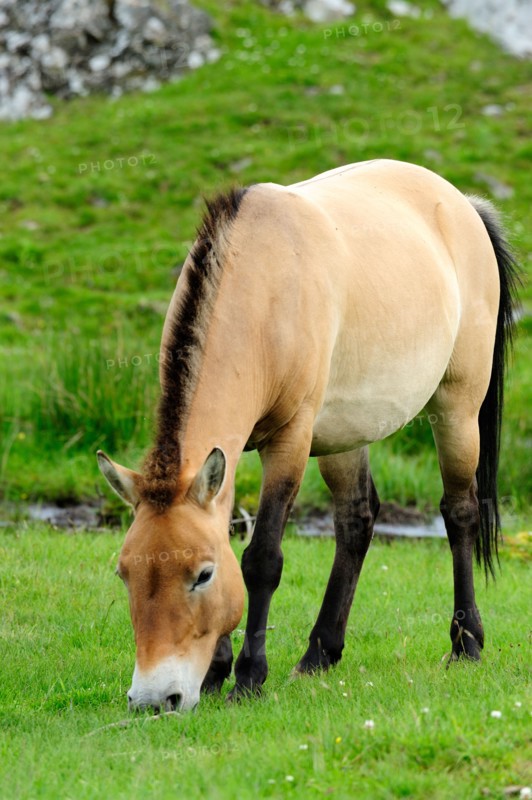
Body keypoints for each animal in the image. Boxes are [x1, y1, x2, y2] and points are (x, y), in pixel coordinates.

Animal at [97, 159, 519, 712]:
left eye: (202, 575)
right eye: (125, 573)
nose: (153, 699)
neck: (262, 287)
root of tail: (463, 204)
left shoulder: (290, 440)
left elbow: (262, 559)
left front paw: (247, 678)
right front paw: (215, 675)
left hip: (457, 408)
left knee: (460, 513)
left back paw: (466, 644)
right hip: (345, 434)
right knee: (356, 521)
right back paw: (320, 653)